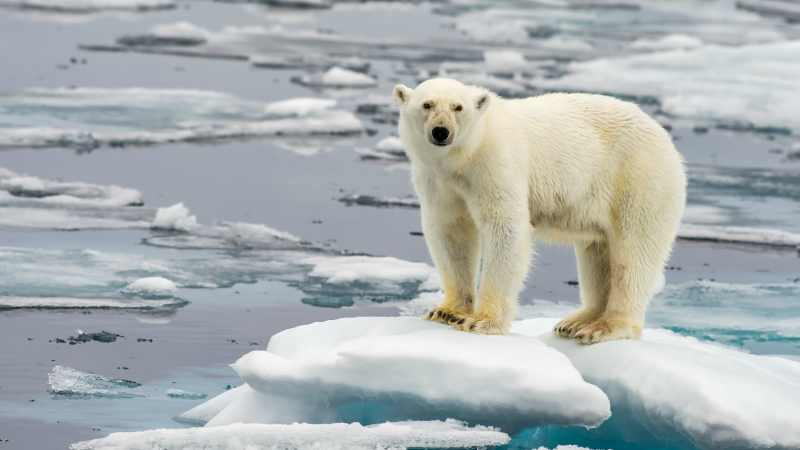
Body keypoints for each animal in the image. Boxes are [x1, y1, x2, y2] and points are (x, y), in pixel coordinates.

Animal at [393, 78, 686, 344]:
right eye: (427, 104)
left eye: (458, 107)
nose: (441, 132)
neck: (464, 157)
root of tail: (663, 136)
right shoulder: (437, 180)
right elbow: (450, 231)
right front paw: (446, 311)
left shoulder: (495, 163)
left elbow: (505, 226)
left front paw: (481, 321)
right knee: (598, 251)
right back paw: (576, 322)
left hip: (638, 178)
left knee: (633, 252)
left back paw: (605, 327)